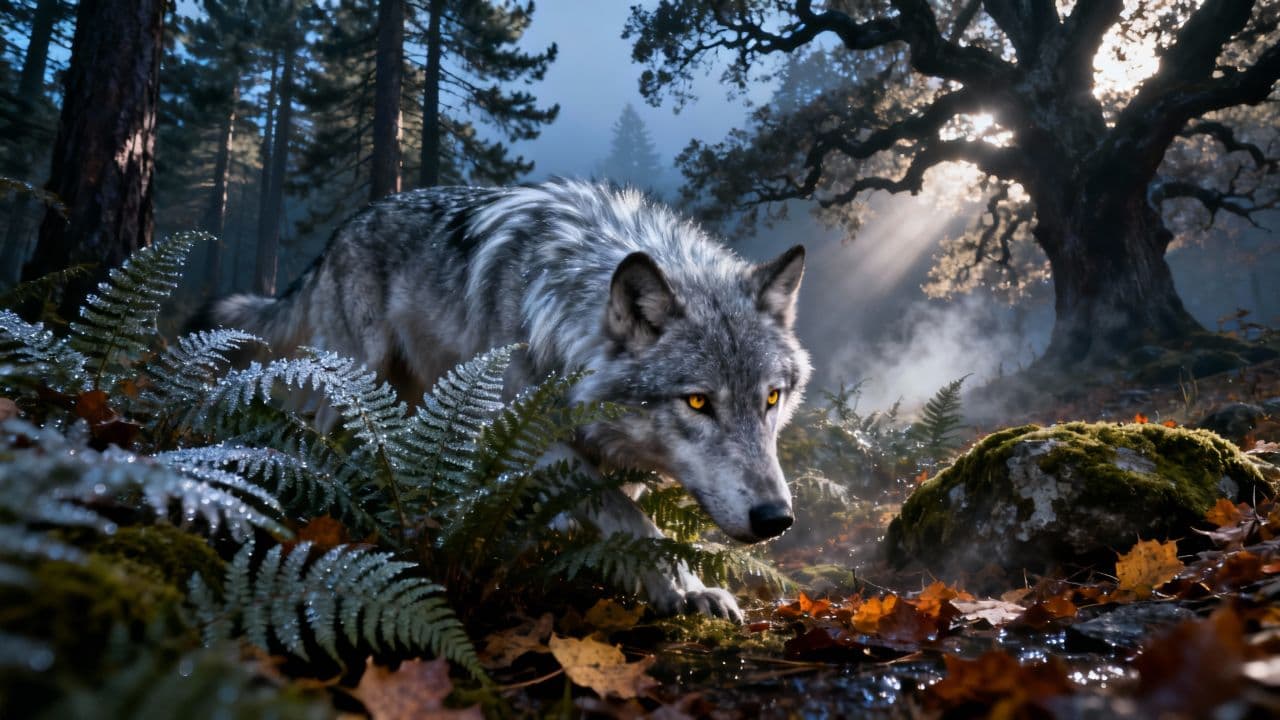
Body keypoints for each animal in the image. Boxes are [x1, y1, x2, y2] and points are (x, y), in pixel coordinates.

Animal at [207, 179, 811, 620]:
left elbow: (627, 510)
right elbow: (632, 518)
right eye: (698, 403)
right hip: (357, 374)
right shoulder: (520, 433)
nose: (776, 518)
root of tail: (343, 229)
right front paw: (682, 586)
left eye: (772, 398)